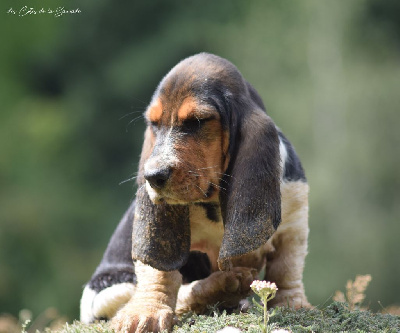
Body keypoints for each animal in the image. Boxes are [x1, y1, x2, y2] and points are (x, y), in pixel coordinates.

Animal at [79, 53, 310, 330]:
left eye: (196, 122)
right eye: (154, 124)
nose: (152, 176)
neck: (214, 200)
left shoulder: (294, 222)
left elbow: (287, 268)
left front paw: (292, 303)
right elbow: (160, 274)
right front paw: (145, 313)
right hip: (108, 291)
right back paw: (223, 286)